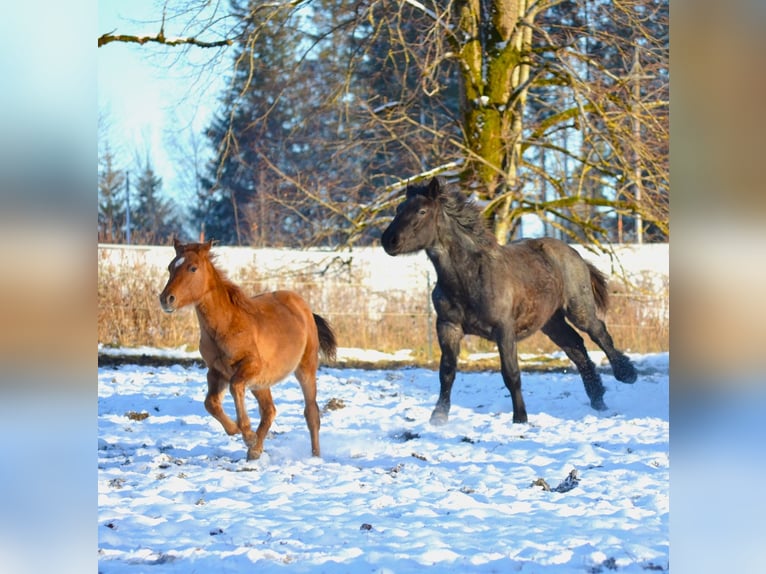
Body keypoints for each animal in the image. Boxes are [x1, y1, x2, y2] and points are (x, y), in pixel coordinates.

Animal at [159, 241, 336, 462]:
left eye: (193, 268)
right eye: (170, 267)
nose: (166, 299)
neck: (225, 325)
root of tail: (304, 308)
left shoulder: (250, 366)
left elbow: (235, 387)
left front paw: (247, 434)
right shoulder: (216, 371)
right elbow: (210, 403)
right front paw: (237, 431)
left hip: (305, 368)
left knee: (311, 413)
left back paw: (314, 455)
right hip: (261, 382)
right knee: (269, 410)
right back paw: (255, 450)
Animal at [380, 178, 640, 426]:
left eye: (422, 211)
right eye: (399, 208)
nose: (388, 240)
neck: (470, 277)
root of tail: (574, 254)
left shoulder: (503, 329)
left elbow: (511, 373)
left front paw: (520, 418)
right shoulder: (447, 327)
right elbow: (446, 372)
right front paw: (438, 417)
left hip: (578, 309)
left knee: (599, 333)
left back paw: (626, 374)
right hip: (551, 322)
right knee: (576, 347)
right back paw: (598, 399)